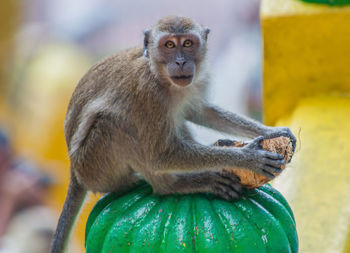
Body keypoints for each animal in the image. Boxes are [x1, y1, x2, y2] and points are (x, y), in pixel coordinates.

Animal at [49, 16, 296, 253]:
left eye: (187, 43)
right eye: (169, 45)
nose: (180, 61)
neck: (159, 75)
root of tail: (75, 173)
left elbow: (199, 111)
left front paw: (271, 131)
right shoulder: (148, 94)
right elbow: (161, 155)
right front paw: (248, 158)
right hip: (95, 165)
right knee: (113, 124)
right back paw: (175, 185)